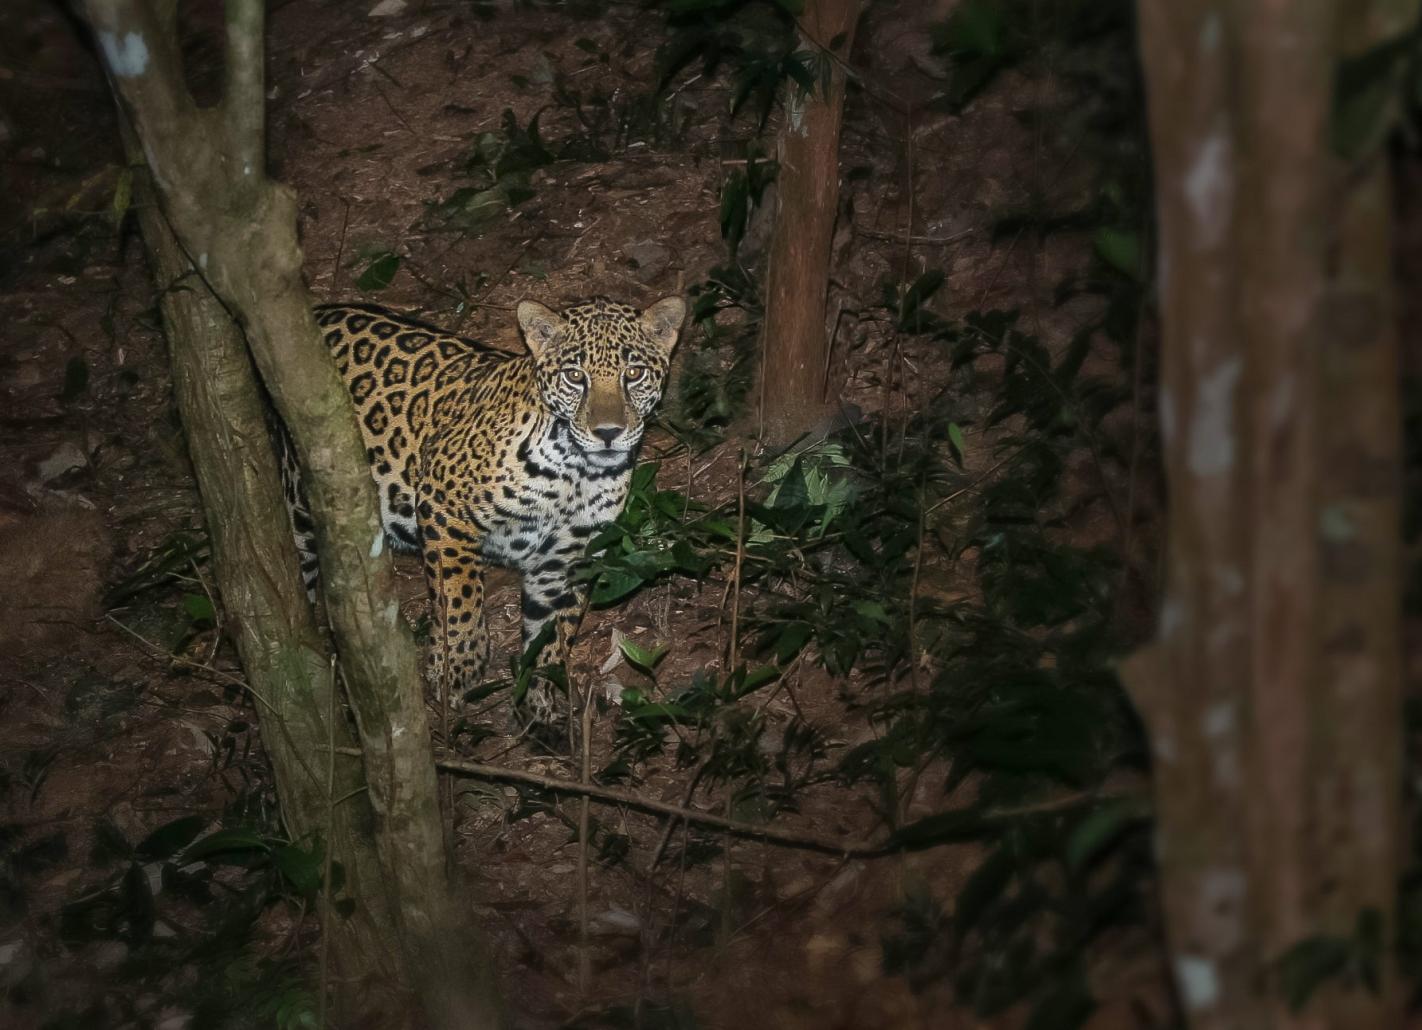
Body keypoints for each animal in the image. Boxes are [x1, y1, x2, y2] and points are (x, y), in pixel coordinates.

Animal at [278, 295, 686, 725]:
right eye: (575, 376)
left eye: (634, 373)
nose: (607, 433)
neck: (577, 473)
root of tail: (324, 309)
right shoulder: (442, 506)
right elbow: (459, 596)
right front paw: (457, 666)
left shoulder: (566, 558)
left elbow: (550, 635)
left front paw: (539, 704)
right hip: (299, 506)